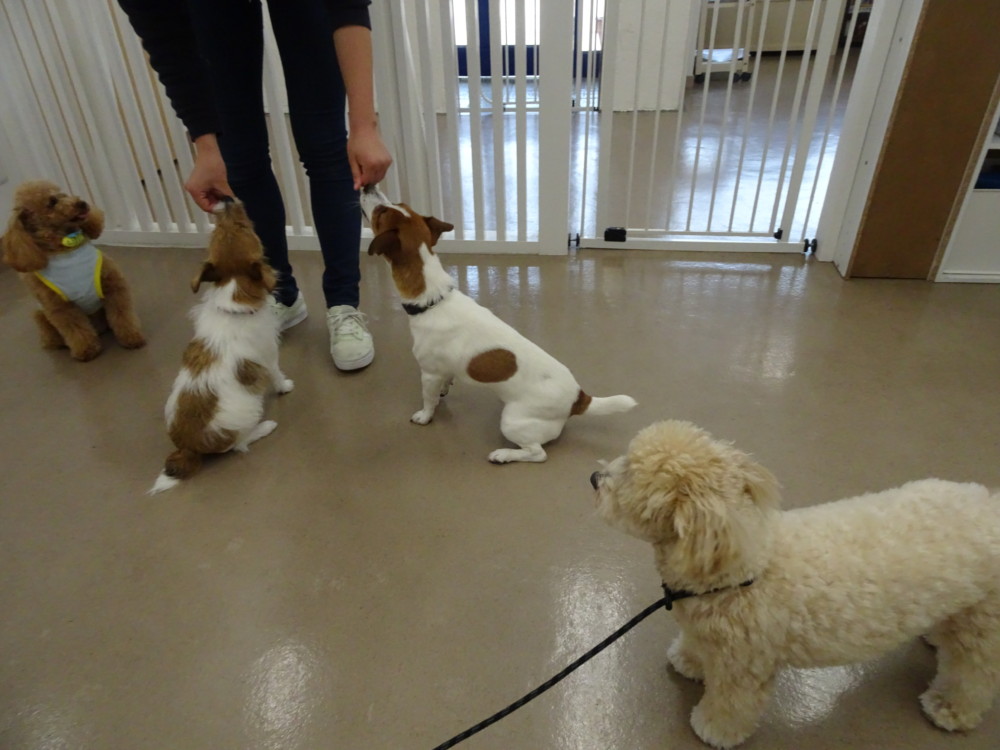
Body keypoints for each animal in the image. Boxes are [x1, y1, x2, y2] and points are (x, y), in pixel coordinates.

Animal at [1, 179, 145, 360]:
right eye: (52, 202)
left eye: (62, 194)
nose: (82, 203)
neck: (67, 248)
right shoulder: (60, 308)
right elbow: (75, 329)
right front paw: (86, 350)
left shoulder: (113, 285)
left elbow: (123, 315)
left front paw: (131, 337)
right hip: (40, 315)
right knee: (53, 337)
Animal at [149, 199, 292, 494]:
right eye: (244, 227)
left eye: (214, 232)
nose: (226, 200)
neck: (233, 296)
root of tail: (187, 448)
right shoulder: (269, 353)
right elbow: (276, 374)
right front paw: (284, 386)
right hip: (248, 415)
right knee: (240, 445)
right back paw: (265, 427)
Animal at [359, 186, 637, 463]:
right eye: (398, 204)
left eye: (380, 213)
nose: (367, 186)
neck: (434, 299)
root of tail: (579, 398)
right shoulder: (442, 369)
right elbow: (446, 381)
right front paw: (445, 390)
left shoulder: (428, 373)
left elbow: (428, 400)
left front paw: (425, 416)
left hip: (513, 422)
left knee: (537, 453)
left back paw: (503, 454)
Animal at [591, 419, 1000, 748]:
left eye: (629, 474)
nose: (594, 479)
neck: (741, 569)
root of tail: (991, 506)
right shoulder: (707, 632)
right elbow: (695, 645)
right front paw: (688, 660)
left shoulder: (743, 665)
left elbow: (733, 703)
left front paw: (714, 729)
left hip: (984, 628)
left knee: (974, 674)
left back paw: (949, 706)